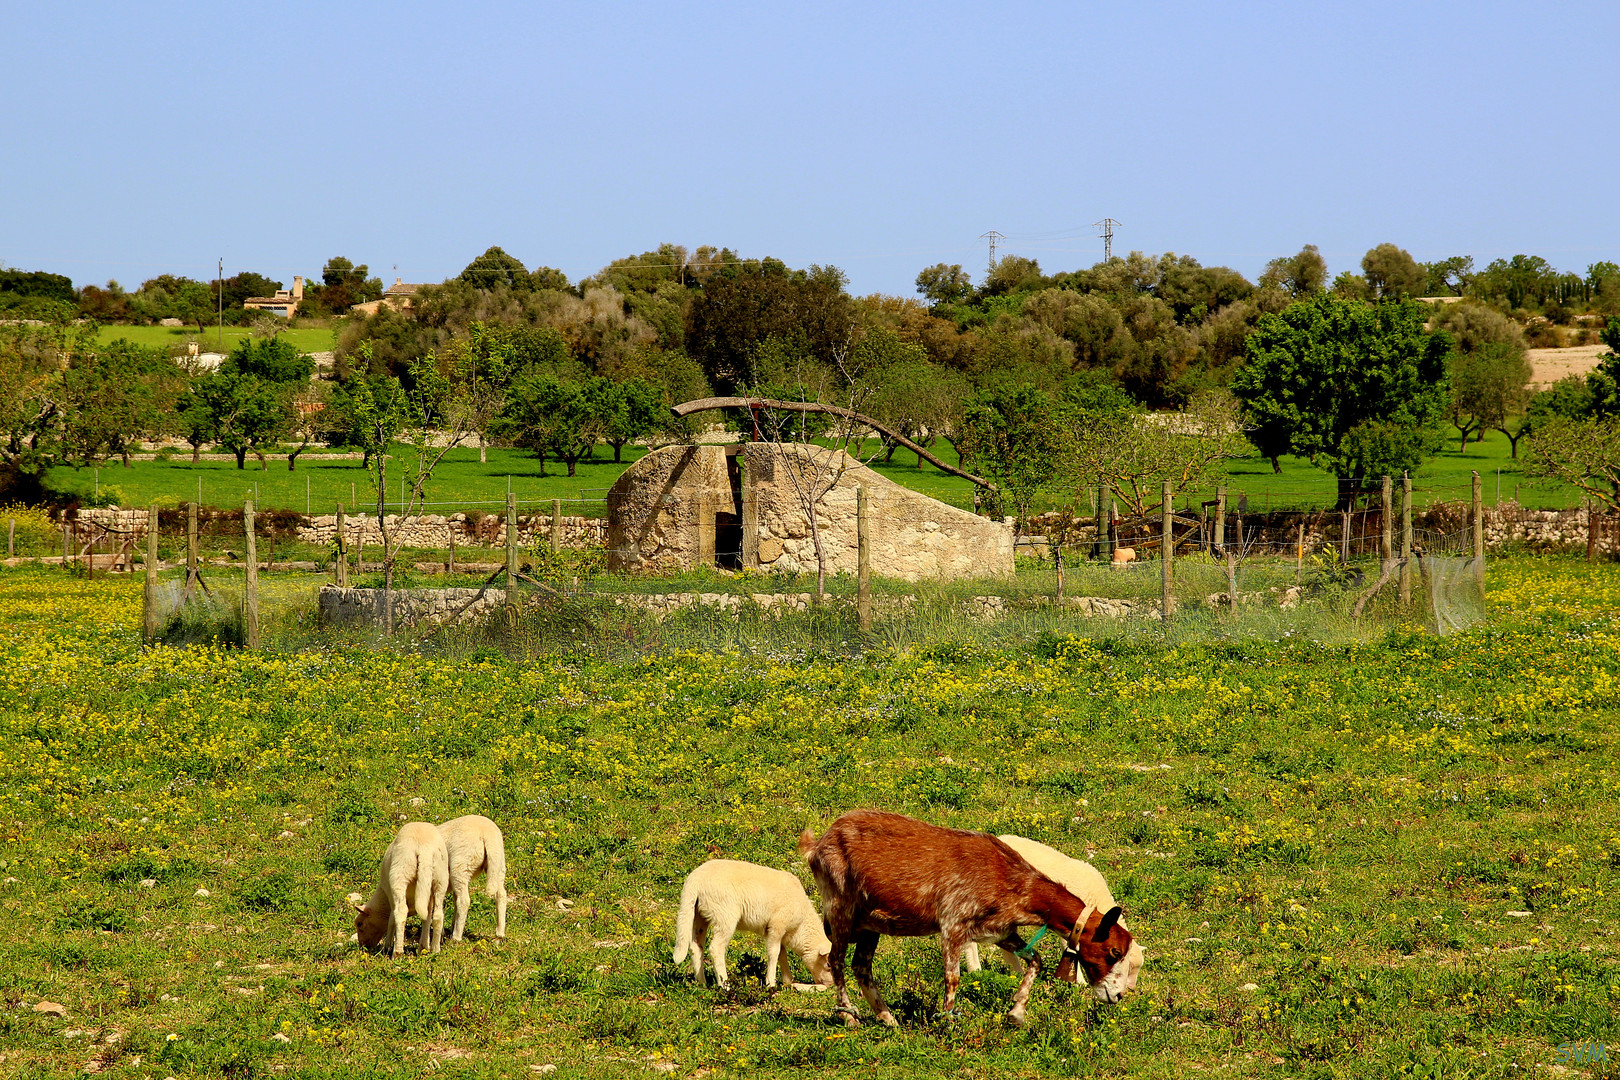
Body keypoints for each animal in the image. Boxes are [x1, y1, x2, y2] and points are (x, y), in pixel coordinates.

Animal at [354, 822, 450, 958]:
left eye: (360, 924)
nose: (363, 946)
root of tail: (424, 847)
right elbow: (426, 918)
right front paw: (424, 947)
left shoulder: (390, 895)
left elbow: (392, 919)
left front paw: (387, 946)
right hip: (440, 878)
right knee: (437, 915)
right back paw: (435, 950)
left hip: (400, 874)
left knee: (400, 912)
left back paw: (397, 953)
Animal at [670, 861, 835, 990]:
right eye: (828, 964)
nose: (830, 985)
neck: (800, 927)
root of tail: (694, 880)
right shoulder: (777, 925)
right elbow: (774, 953)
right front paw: (771, 984)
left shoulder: (776, 931)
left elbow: (782, 954)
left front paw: (788, 981)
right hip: (724, 914)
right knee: (716, 948)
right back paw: (725, 986)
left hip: (698, 914)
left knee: (696, 946)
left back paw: (702, 983)